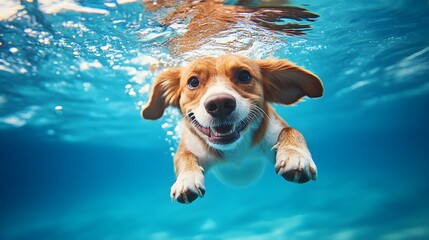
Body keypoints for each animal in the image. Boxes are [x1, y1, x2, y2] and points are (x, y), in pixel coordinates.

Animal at [142, 54, 322, 202]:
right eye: (193, 82)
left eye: (244, 75)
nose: (219, 104)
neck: (234, 151)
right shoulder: (191, 147)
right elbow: (184, 156)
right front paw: (187, 178)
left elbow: (291, 131)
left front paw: (296, 156)